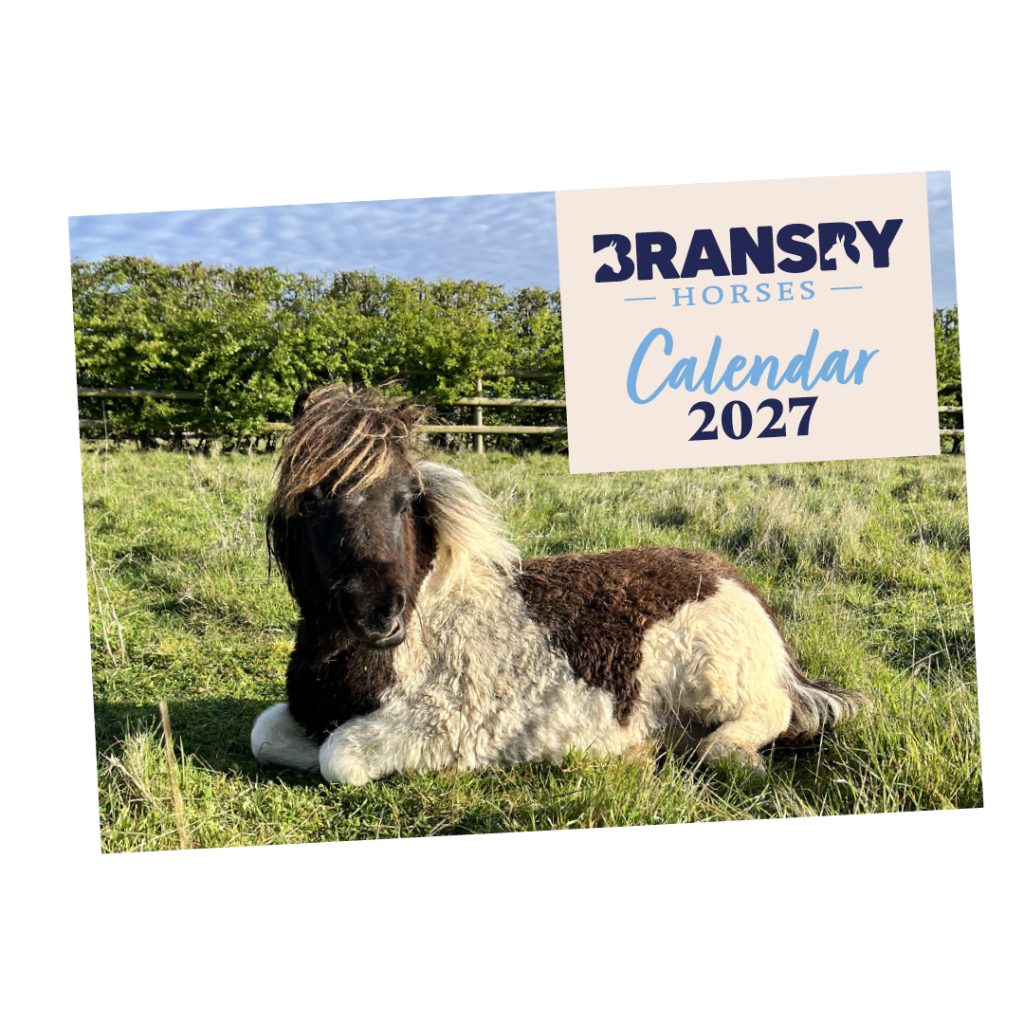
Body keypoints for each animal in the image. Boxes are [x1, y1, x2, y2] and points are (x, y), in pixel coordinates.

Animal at [251, 385, 863, 784]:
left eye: (407, 498)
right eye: (312, 501)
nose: (380, 613)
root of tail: (735, 583)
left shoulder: (436, 724)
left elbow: (338, 758)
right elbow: (266, 735)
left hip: (719, 681)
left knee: (771, 715)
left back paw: (723, 753)